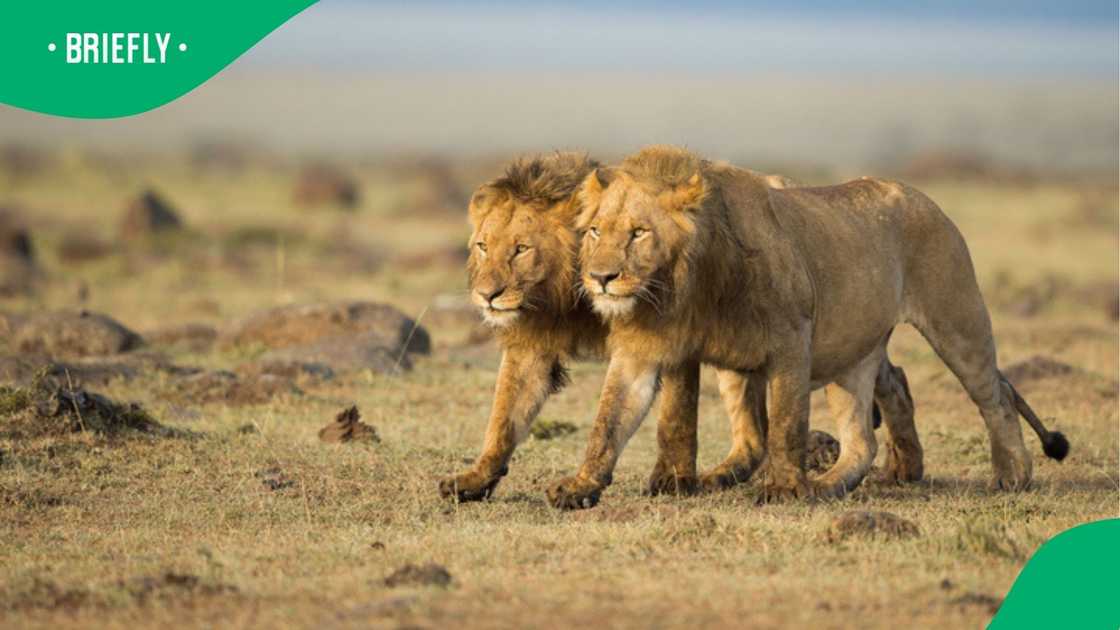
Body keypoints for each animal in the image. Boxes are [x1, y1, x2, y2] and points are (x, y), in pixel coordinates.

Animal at [439, 152, 919, 503]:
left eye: (521, 249)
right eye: (482, 246)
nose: (487, 295)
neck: (572, 296)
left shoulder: (673, 334)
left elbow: (675, 414)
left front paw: (670, 481)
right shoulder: (535, 347)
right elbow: (504, 416)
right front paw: (475, 479)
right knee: (885, 377)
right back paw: (905, 466)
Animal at [546, 145, 1067, 509]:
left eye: (639, 233)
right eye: (595, 231)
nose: (600, 278)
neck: (680, 289)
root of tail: (922, 196)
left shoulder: (792, 341)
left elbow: (786, 423)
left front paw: (781, 488)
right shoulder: (649, 348)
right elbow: (621, 420)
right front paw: (584, 486)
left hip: (955, 318)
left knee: (994, 396)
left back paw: (1012, 474)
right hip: (848, 353)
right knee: (861, 433)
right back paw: (843, 480)